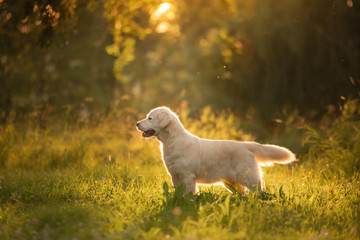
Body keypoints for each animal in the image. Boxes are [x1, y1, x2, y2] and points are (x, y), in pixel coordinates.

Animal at [136, 107, 296, 195]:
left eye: (150, 118)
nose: (137, 123)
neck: (171, 141)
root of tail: (246, 145)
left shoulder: (188, 176)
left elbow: (189, 194)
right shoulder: (174, 176)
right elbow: (179, 193)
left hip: (249, 178)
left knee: (259, 192)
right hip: (231, 182)